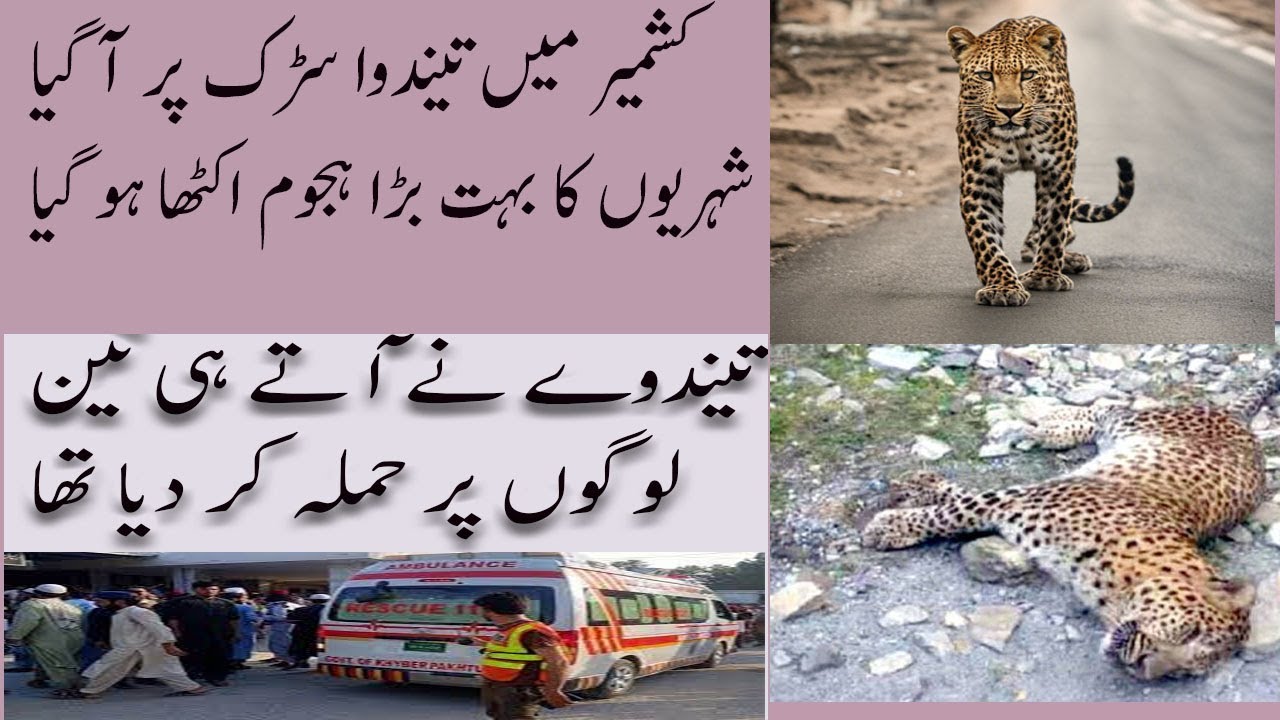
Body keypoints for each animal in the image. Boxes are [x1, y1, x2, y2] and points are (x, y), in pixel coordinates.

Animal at [858, 367, 1279, 680]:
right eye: (1190, 631)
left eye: (1180, 673)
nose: (1142, 667)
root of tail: (1238, 420)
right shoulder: (1020, 498)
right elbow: (949, 512)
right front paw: (891, 522)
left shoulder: (1018, 502)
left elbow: (955, 501)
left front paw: (911, 497)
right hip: (1140, 422)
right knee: (1109, 408)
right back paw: (1048, 423)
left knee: (1103, 417)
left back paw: (1050, 429)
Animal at [947, 17, 1135, 307]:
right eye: (985, 76)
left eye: (1028, 74)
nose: (1009, 110)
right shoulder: (979, 175)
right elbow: (984, 235)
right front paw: (1002, 285)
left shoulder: (1056, 171)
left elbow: (1054, 223)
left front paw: (1045, 275)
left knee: (1058, 225)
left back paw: (1067, 259)